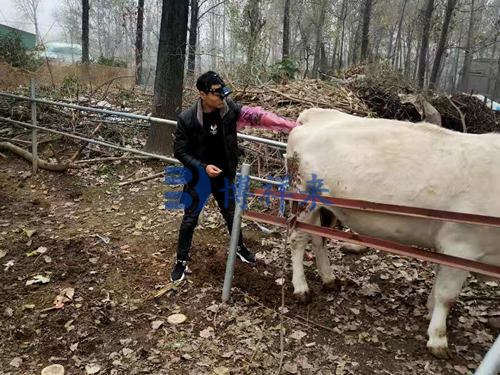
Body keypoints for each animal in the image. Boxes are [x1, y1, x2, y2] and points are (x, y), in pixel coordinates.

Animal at [288, 108, 500, 358]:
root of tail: (316, 114)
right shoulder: (461, 246)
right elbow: (447, 296)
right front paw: (438, 339)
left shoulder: (448, 247)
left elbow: (438, 282)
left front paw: (429, 311)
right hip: (303, 198)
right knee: (298, 240)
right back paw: (301, 288)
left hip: (326, 208)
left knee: (318, 240)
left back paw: (329, 279)